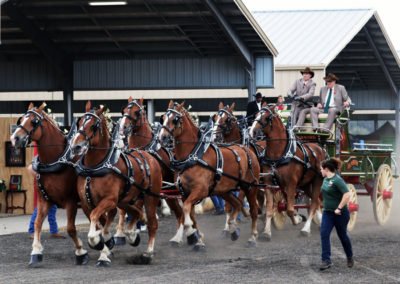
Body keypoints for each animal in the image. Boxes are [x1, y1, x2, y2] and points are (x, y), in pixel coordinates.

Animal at [10, 103, 89, 266]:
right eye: (21, 119)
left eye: (34, 121)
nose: (15, 138)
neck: (55, 160)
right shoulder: (43, 200)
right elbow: (37, 223)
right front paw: (36, 251)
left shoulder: (71, 201)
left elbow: (71, 228)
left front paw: (80, 251)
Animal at [70, 101, 162, 266]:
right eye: (79, 122)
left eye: (93, 126)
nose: (76, 146)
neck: (94, 168)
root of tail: (149, 155)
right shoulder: (87, 203)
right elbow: (98, 222)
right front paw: (104, 247)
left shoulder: (110, 200)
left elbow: (96, 222)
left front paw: (99, 245)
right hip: (125, 200)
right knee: (136, 213)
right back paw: (131, 235)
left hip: (151, 197)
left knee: (152, 223)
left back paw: (148, 253)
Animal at [119, 96, 191, 246]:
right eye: (124, 110)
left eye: (136, 112)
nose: (123, 127)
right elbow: (124, 210)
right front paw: (121, 234)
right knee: (179, 212)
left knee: (183, 212)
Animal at [158, 100, 260, 248]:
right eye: (163, 118)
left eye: (175, 119)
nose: (162, 137)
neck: (192, 157)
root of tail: (247, 149)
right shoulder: (184, 193)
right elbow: (191, 215)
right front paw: (198, 240)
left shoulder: (201, 190)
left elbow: (187, 210)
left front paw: (190, 232)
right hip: (224, 190)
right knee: (236, 204)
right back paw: (233, 229)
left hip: (250, 186)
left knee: (253, 210)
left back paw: (252, 237)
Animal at [250, 103, 324, 239]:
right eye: (256, 115)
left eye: (266, 117)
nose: (253, 132)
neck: (279, 154)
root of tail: (319, 147)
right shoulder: (269, 184)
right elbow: (269, 209)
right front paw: (266, 232)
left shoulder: (291, 184)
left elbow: (290, 209)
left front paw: (298, 219)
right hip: (305, 183)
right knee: (315, 202)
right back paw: (320, 220)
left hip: (317, 180)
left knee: (314, 203)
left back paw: (306, 229)